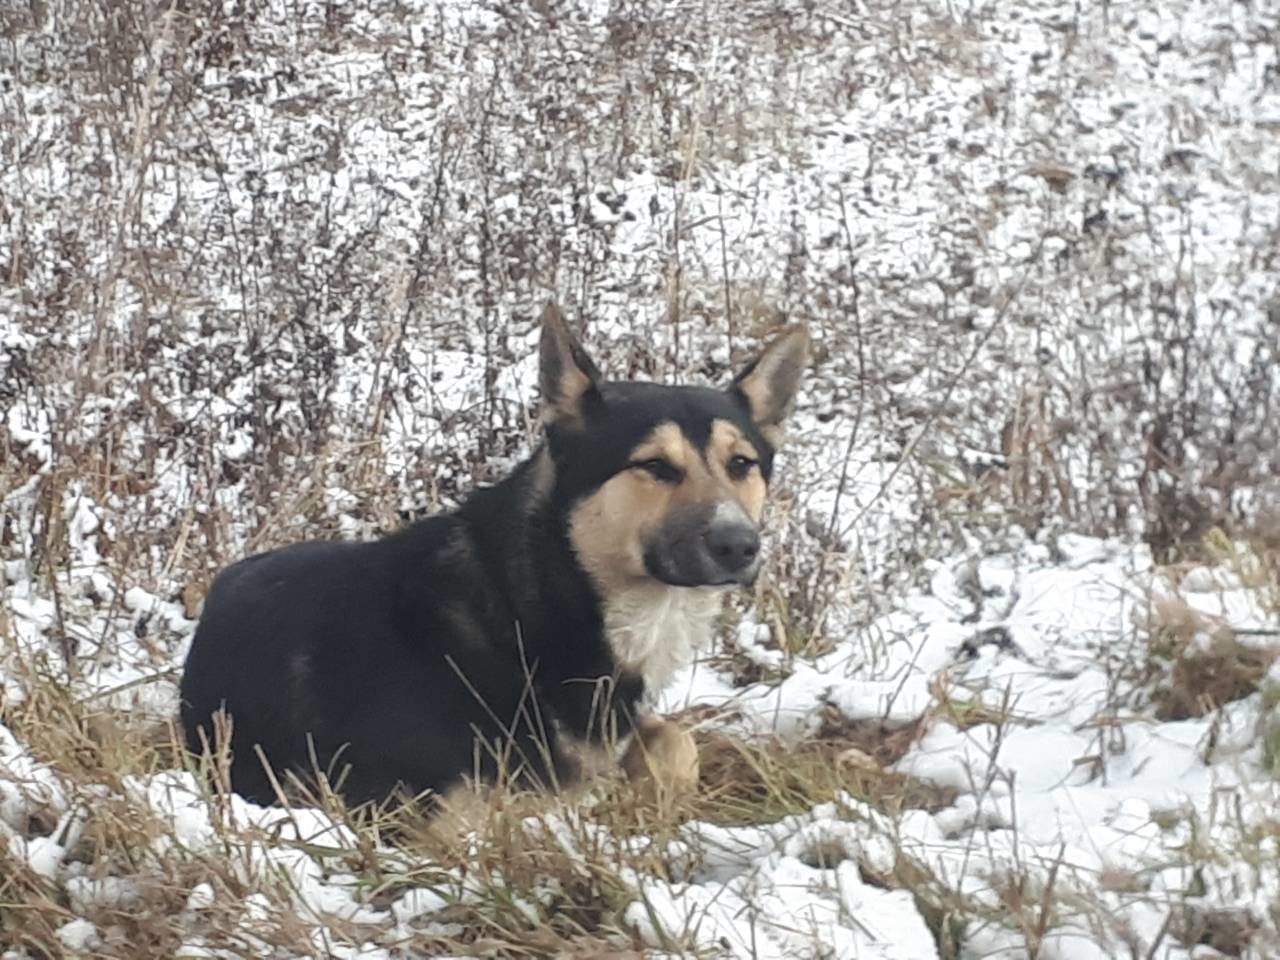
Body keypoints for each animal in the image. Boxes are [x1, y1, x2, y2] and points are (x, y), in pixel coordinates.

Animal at [177, 305, 808, 814]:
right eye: (654, 465)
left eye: (742, 464)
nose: (739, 545)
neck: (532, 600)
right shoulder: (427, 817)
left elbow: (674, 739)